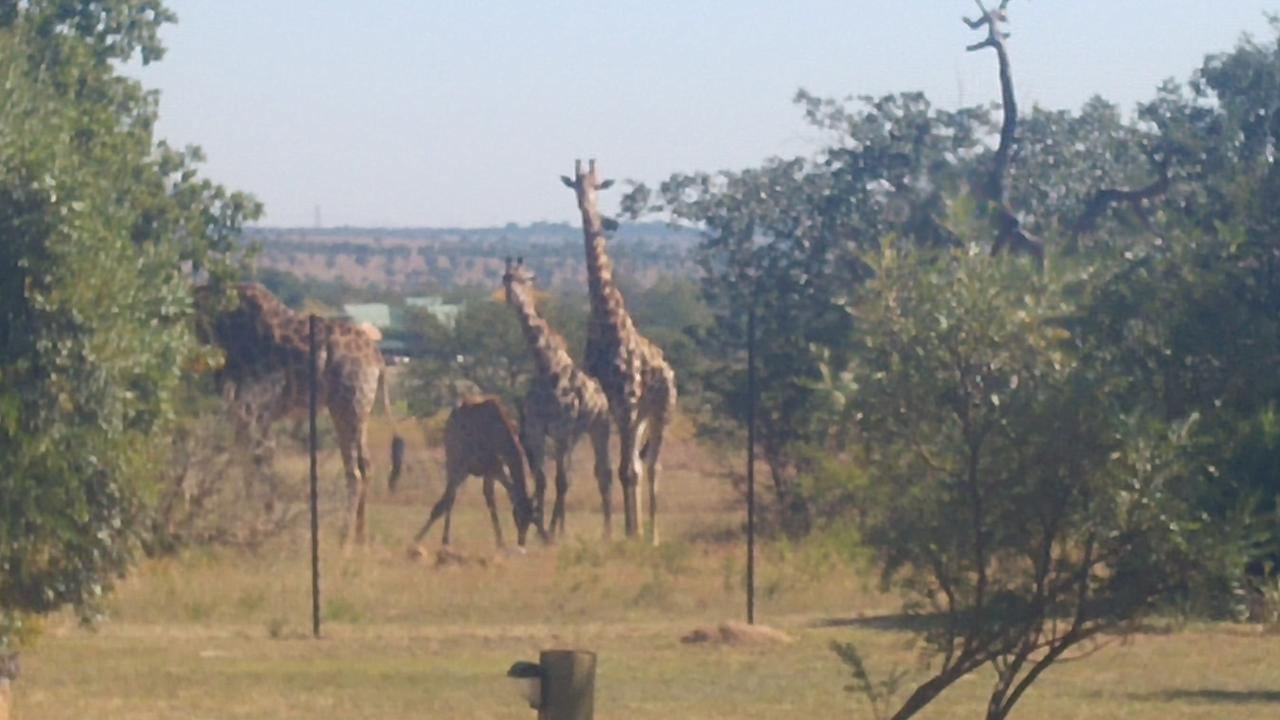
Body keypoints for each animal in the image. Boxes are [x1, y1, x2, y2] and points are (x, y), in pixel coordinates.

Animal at [194, 280, 389, 543]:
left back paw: (344, 539)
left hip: (348, 404)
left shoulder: (252, 408)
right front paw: (253, 518)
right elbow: (250, 459)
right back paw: (361, 539)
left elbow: (258, 459)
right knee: (366, 465)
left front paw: (257, 521)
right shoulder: (249, 414)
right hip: (356, 411)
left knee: (355, 472)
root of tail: (377, 359)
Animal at [412, 392, 542, 543]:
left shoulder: (494, 469)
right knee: (449, 498)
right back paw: (443, 539)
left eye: (531, 520)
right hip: (453, 461)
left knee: (451, 498)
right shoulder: (483, 468)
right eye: (519, 517)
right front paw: (415, 540)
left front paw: (500, 542)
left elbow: (493, 499)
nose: (521, 541)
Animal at [499, 254, 614, 535]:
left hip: (599, 427)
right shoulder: (537, 430)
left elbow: (560, 480)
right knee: (572, 475)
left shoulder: (562, 429)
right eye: (505, 279)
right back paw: (562, 528)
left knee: (602, 474)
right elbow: (542, 480)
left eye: (526, 279)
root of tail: (602, 393)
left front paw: (549, 532)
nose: (513, 298)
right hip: (575, 435)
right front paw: (540, 529)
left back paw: (607, 531)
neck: (546, 368)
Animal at [563, 159, 680, 543]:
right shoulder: (609, 403)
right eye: (575, 186)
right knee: (639, 464)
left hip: (662, 411)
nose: (587, 208)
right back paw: (641, 530)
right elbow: (613, 469)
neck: (605, 319)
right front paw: (619, 533)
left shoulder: (627, 400)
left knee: (653, 465)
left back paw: (653, 535)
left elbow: (628, 469)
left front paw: (632, 533)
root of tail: (671, 370)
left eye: (597, 187)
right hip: (640, 416)